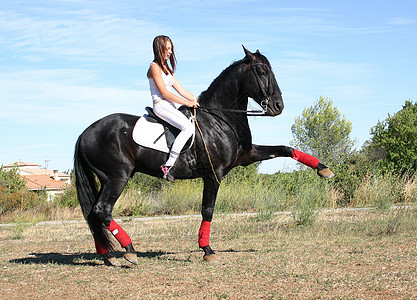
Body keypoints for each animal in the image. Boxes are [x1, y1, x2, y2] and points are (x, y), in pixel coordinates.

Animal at [75, 46, 334, 264]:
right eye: (261, 71)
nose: (278, 106)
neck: (220, 117)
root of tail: (85, 132)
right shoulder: (214, 173)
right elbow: (207, 209)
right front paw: (207, 250)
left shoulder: (247, 156)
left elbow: (284, 149)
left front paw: (323, 169)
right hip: (118, 177)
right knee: (102, 210)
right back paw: (129, 251)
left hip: (106, 179)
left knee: (94, 213)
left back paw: (108, 255)